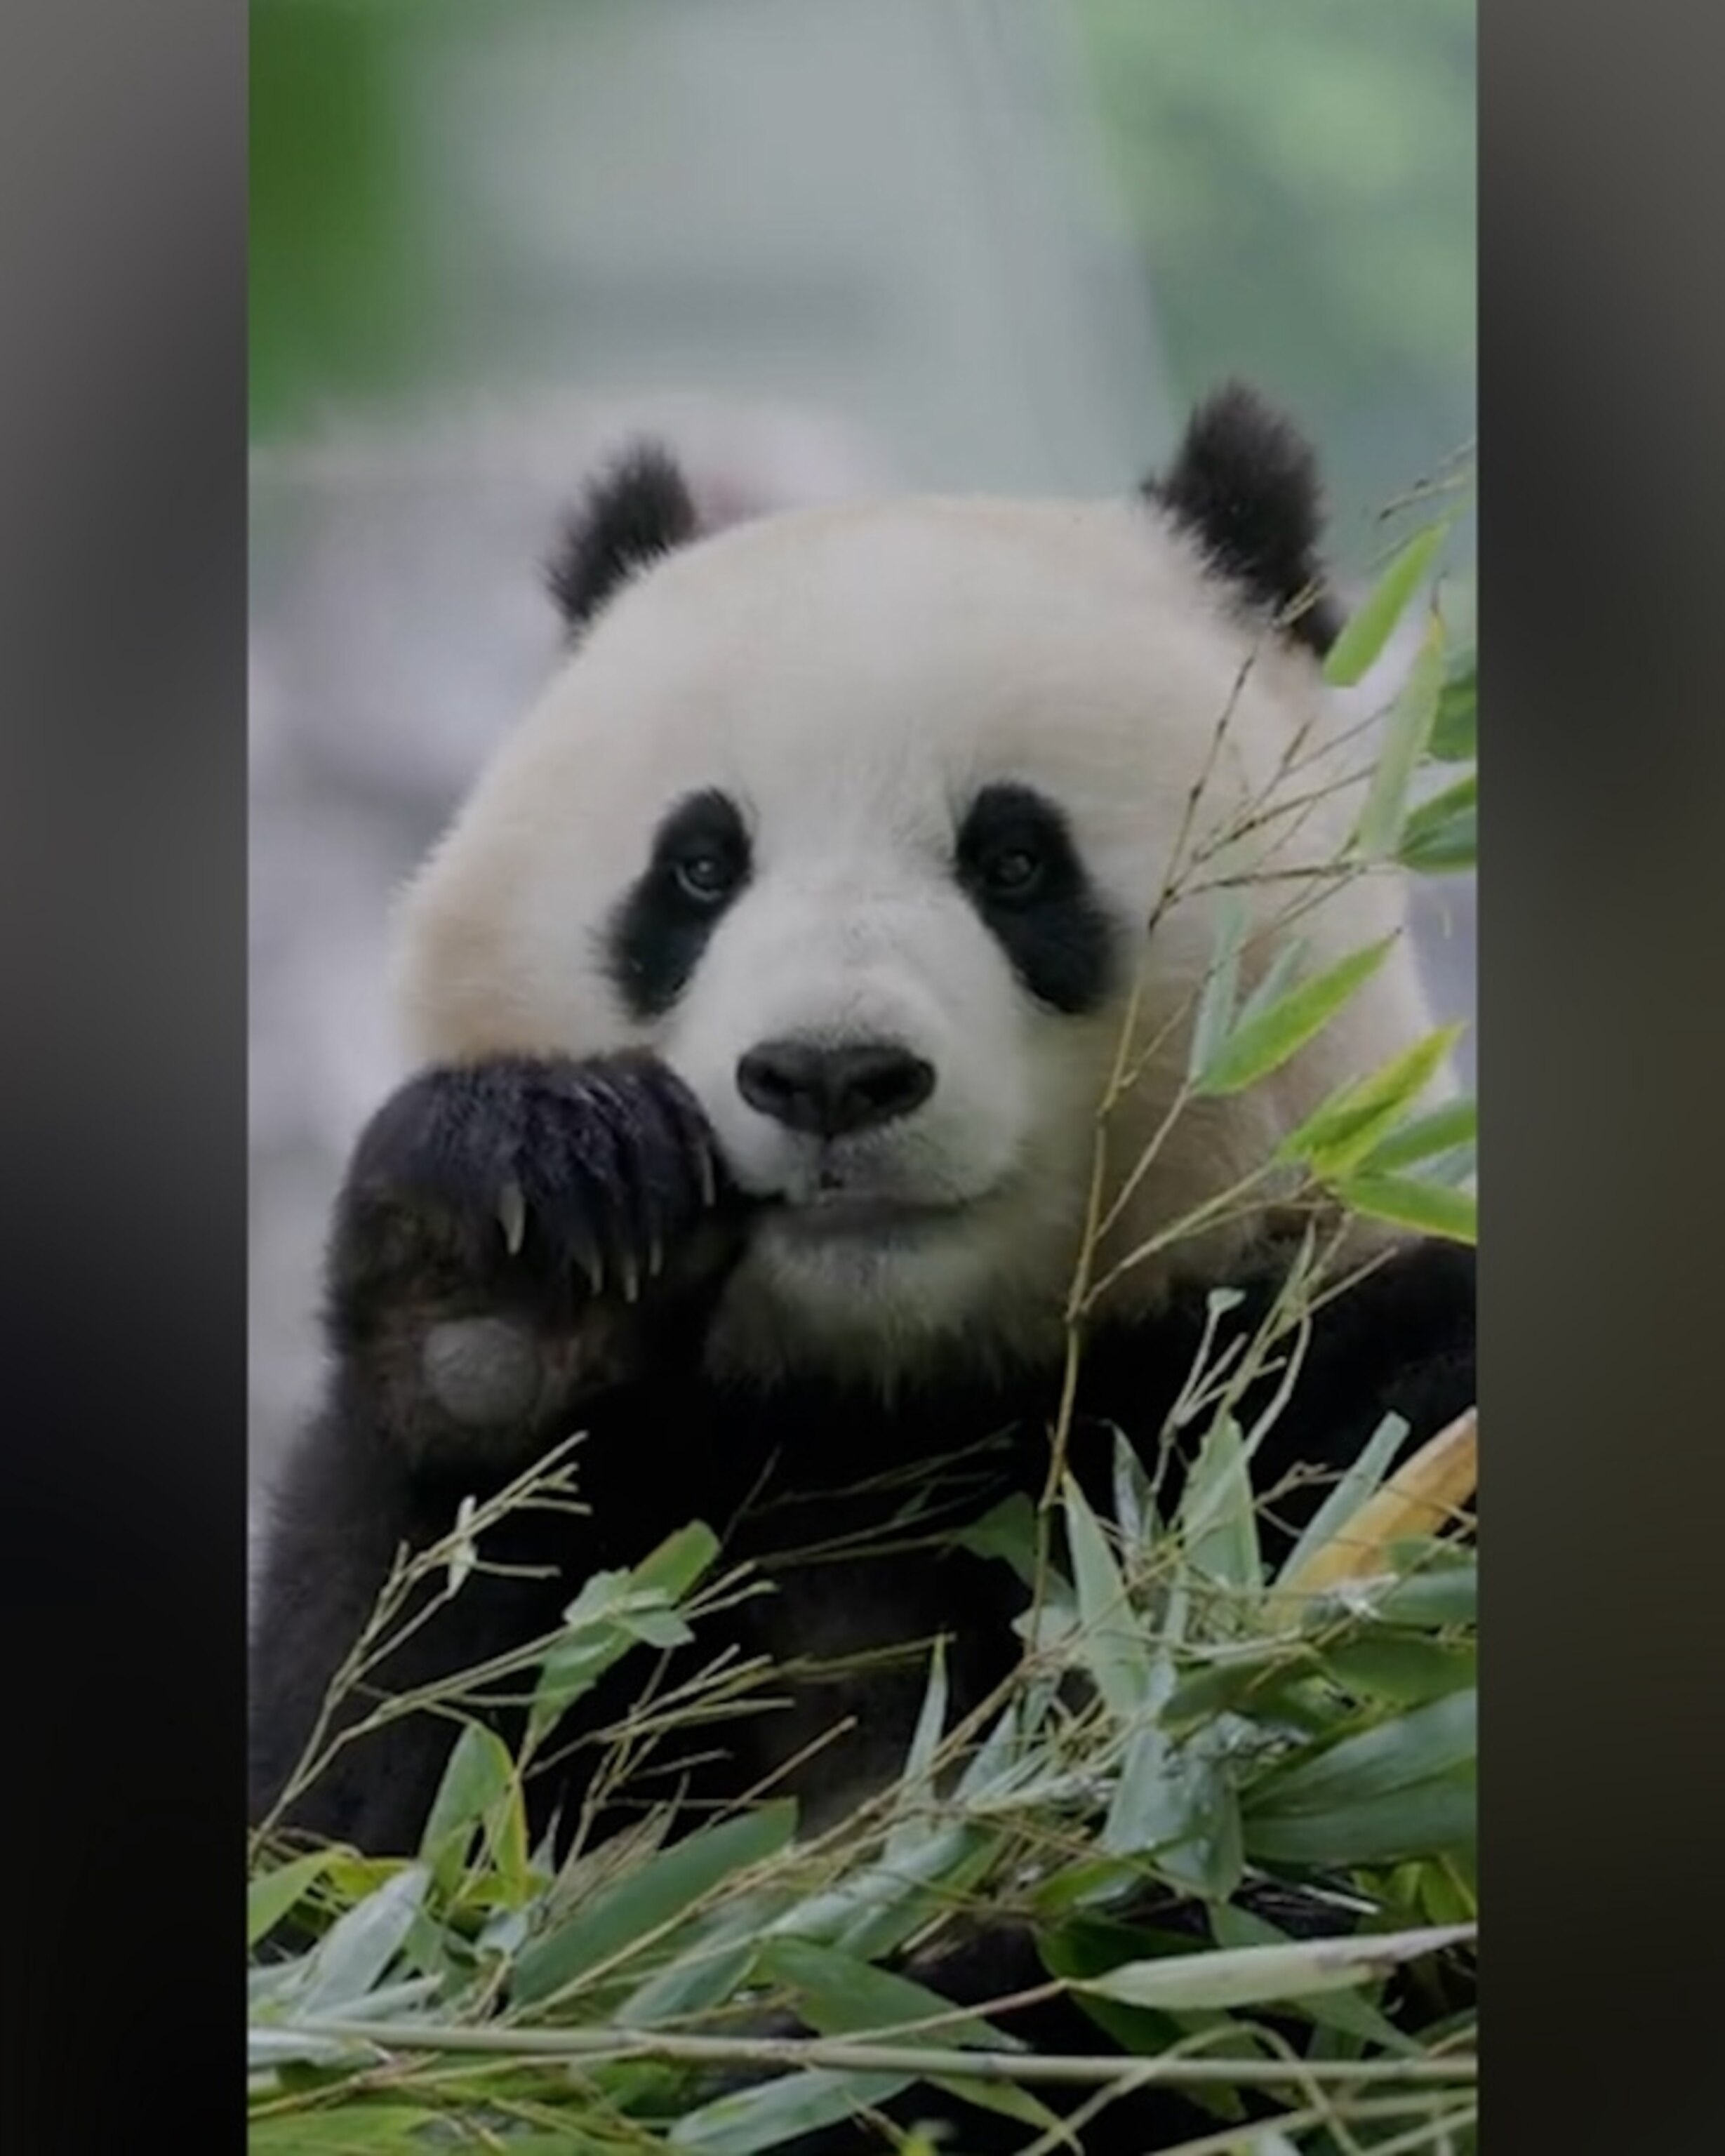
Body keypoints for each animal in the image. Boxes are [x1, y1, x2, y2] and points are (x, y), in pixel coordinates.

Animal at [249, 383, 1475, 2152]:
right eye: (697, 867)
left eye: (1015, 862)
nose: (830, 1075)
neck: (887, 1397)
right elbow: (364, 1847)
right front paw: (515, 1263)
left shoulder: (1347, 1408)